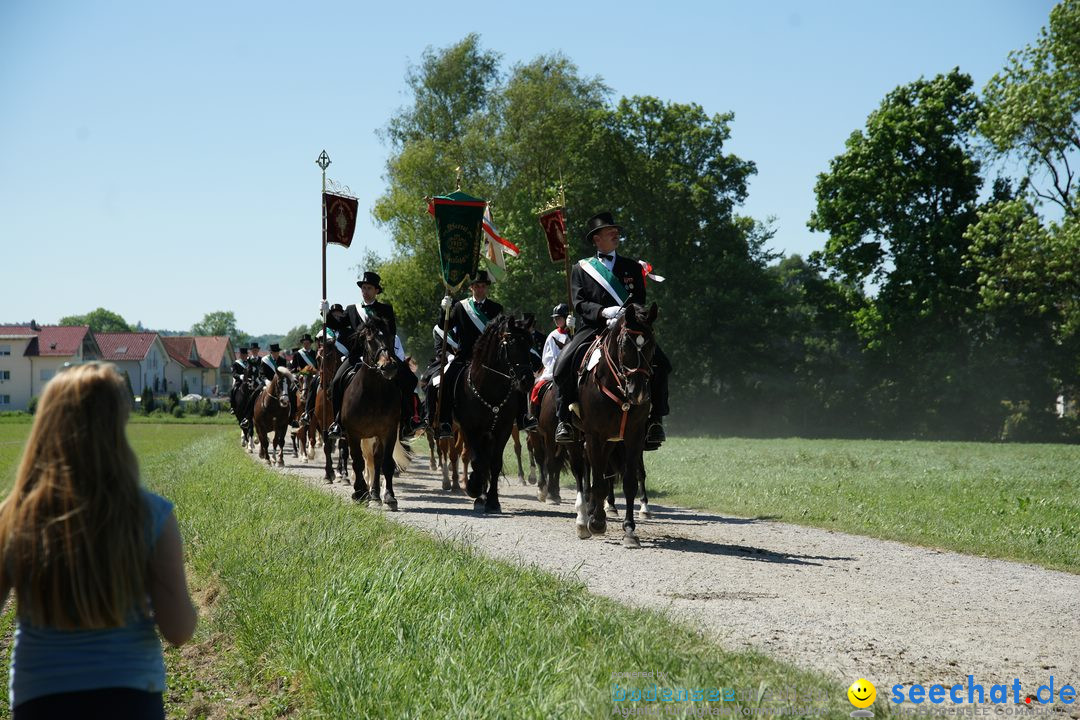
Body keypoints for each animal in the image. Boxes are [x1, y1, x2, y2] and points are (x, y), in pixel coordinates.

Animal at [339, 317, 406, 509]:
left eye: (390, 337)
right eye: (369, 341)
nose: (388, 366)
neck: (373, 393)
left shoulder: (388, 432)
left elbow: (386, 463)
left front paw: (389, 497)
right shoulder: (353, 433)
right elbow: (357, 462)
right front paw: (359, 492)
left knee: (376, 460)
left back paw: (376, 495)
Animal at [574, 302, 656, 546]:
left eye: (652, 344)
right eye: (625, 344)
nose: (638, 393)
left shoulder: (633, 437)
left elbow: (629, 481)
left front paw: (629, 530)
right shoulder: (594, 436)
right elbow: (598, 480)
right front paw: (597, 522)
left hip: (611, 441)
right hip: (577, 438)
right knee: (581, 472)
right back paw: (583, 520)